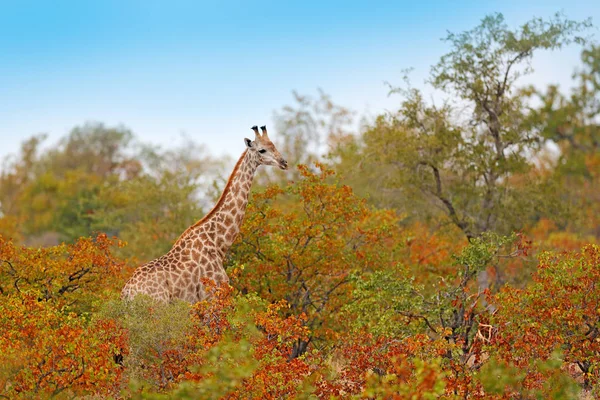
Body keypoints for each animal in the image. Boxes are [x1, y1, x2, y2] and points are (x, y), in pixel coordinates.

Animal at [120, 126, 288, 304]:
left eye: (274, 145)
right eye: (262, 150)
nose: (284, 162)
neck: (218, 243)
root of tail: (126, 293)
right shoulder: (213, 295)